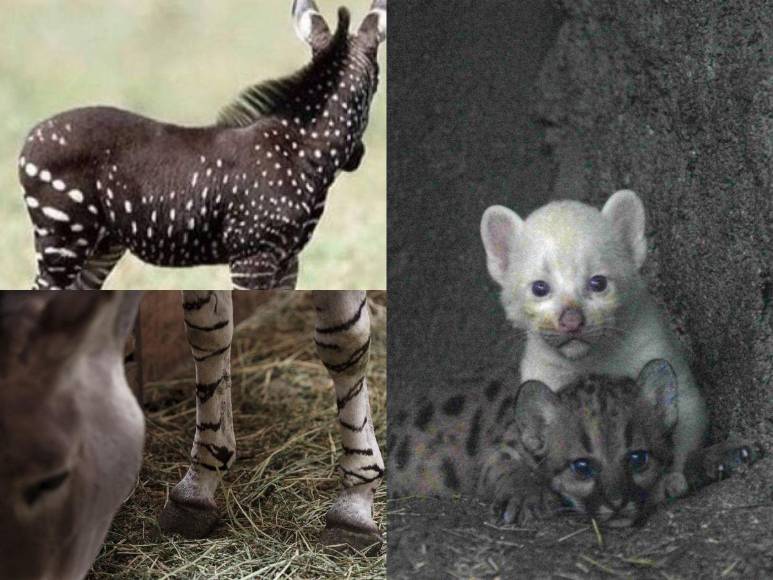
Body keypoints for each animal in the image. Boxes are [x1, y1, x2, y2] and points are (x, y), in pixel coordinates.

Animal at [18, 0, 386, 290]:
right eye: (377, 83)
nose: (358, 157)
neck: (299, 152)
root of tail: (30, 137)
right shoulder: (253, 255)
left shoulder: (288, 260)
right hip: (62, 237)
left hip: (101, 245)